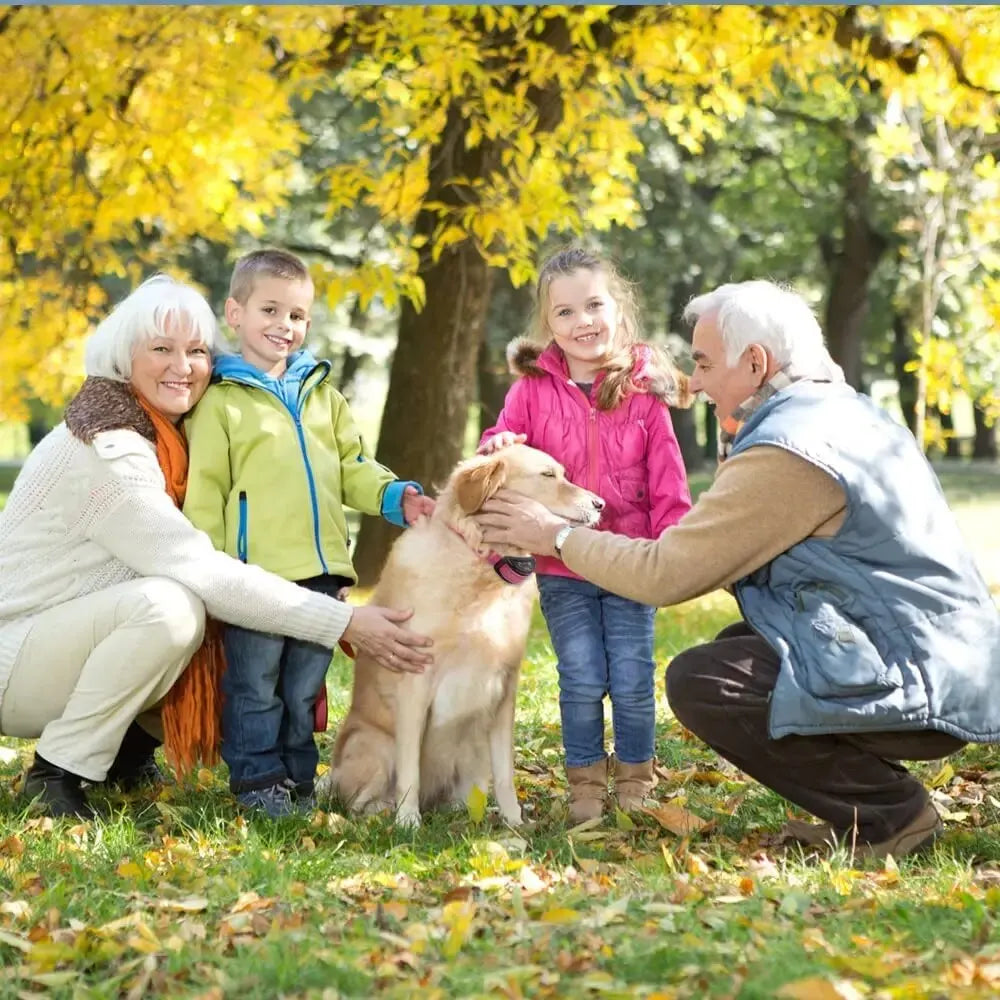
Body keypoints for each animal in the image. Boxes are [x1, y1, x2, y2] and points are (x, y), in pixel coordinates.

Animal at [316, 446, 604, 828]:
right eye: (547, 475)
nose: (601, 504)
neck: (481, 561)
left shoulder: (505, 687)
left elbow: (505, 771)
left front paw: (514, 821)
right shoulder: (415, 680)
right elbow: (409, 769)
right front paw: (408, 821)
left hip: (472, 746)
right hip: (375, 745)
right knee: (359, 802)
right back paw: (386, 813)